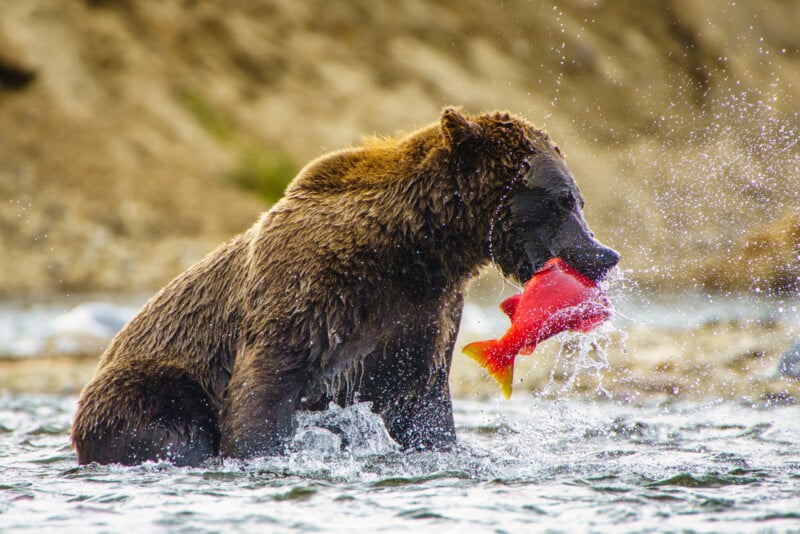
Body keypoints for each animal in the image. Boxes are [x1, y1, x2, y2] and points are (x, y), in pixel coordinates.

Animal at [71, 108, 619, 466]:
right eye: (562, 200)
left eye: (578, 200)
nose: (605, 256)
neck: (410, 248)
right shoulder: (309, 293)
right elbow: (263, 388)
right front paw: (258, 453)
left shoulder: (423, 316)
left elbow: (423, 408)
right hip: (149, 382)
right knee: (162, 420)